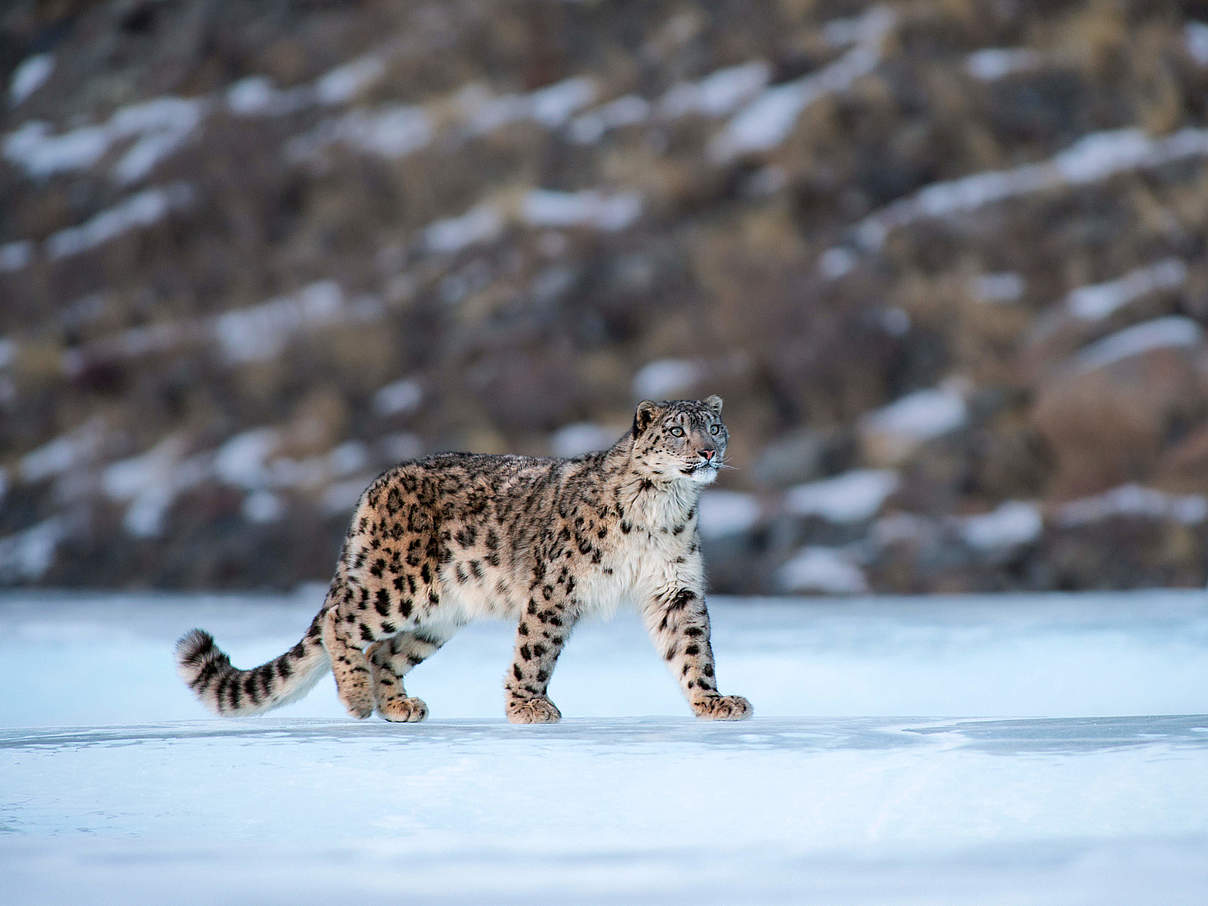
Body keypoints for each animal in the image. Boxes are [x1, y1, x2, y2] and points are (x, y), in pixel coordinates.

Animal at [175, 396, 748, 724]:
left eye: (714, 427)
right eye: (676, 431)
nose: (706, 452)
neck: (662, 508)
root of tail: (375, 486)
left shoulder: (674, 587)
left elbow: (692, 648)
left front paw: (713, 700)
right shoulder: (556, 586)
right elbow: (535, 650)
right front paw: (527, 706)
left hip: (438, 615)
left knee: (386, 652)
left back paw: (398, 706)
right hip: (396, 586)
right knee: (342, 620)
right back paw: (358, 699)